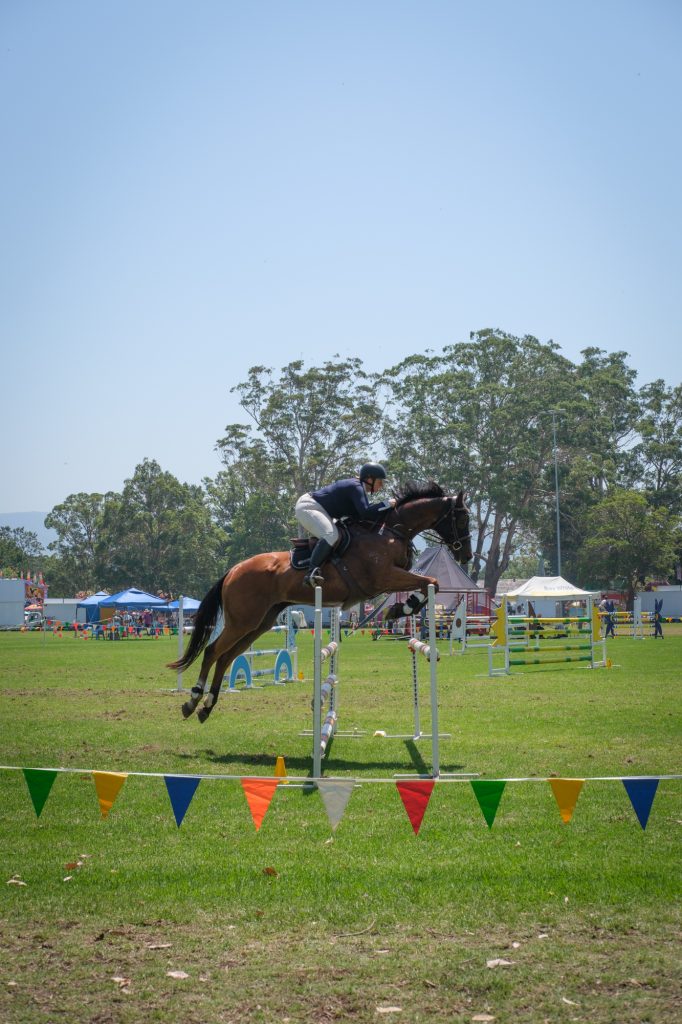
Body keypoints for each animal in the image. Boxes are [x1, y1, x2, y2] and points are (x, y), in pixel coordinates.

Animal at [169, 481, 471, 723]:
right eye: (463, 520)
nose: (466, 555)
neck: (390, 531)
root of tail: (233, 570)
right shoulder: (384, 577)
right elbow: (431, 581)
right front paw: (401, 608)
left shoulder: (392, 578)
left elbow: (430, 583)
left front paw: (400, 608)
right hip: (242, 621)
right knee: (212, 651)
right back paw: (193, 700)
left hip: (259, 623)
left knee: (226, 657)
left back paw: (207, 706)